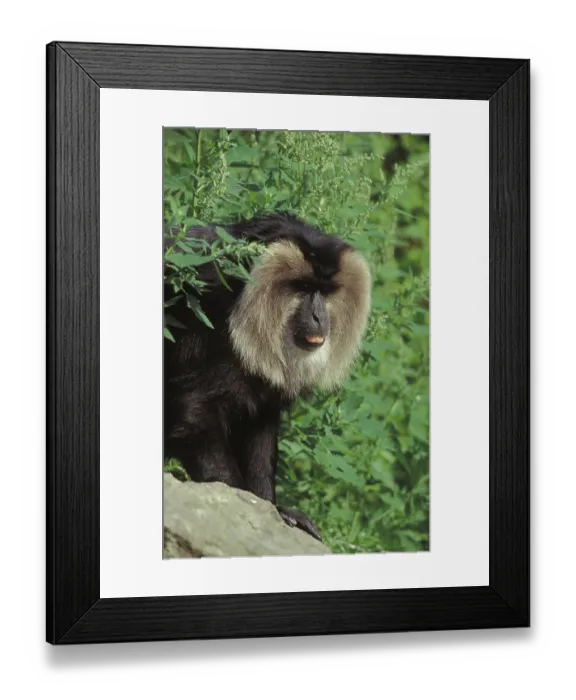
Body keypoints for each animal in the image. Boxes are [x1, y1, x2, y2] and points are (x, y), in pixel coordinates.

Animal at [164, 214, 371, 541]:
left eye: (325, 291)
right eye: (302, 286)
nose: (318, 317)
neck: (239, 301)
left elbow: (259, 433)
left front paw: (271, 509)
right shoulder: (204, 315)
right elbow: (193, 415)